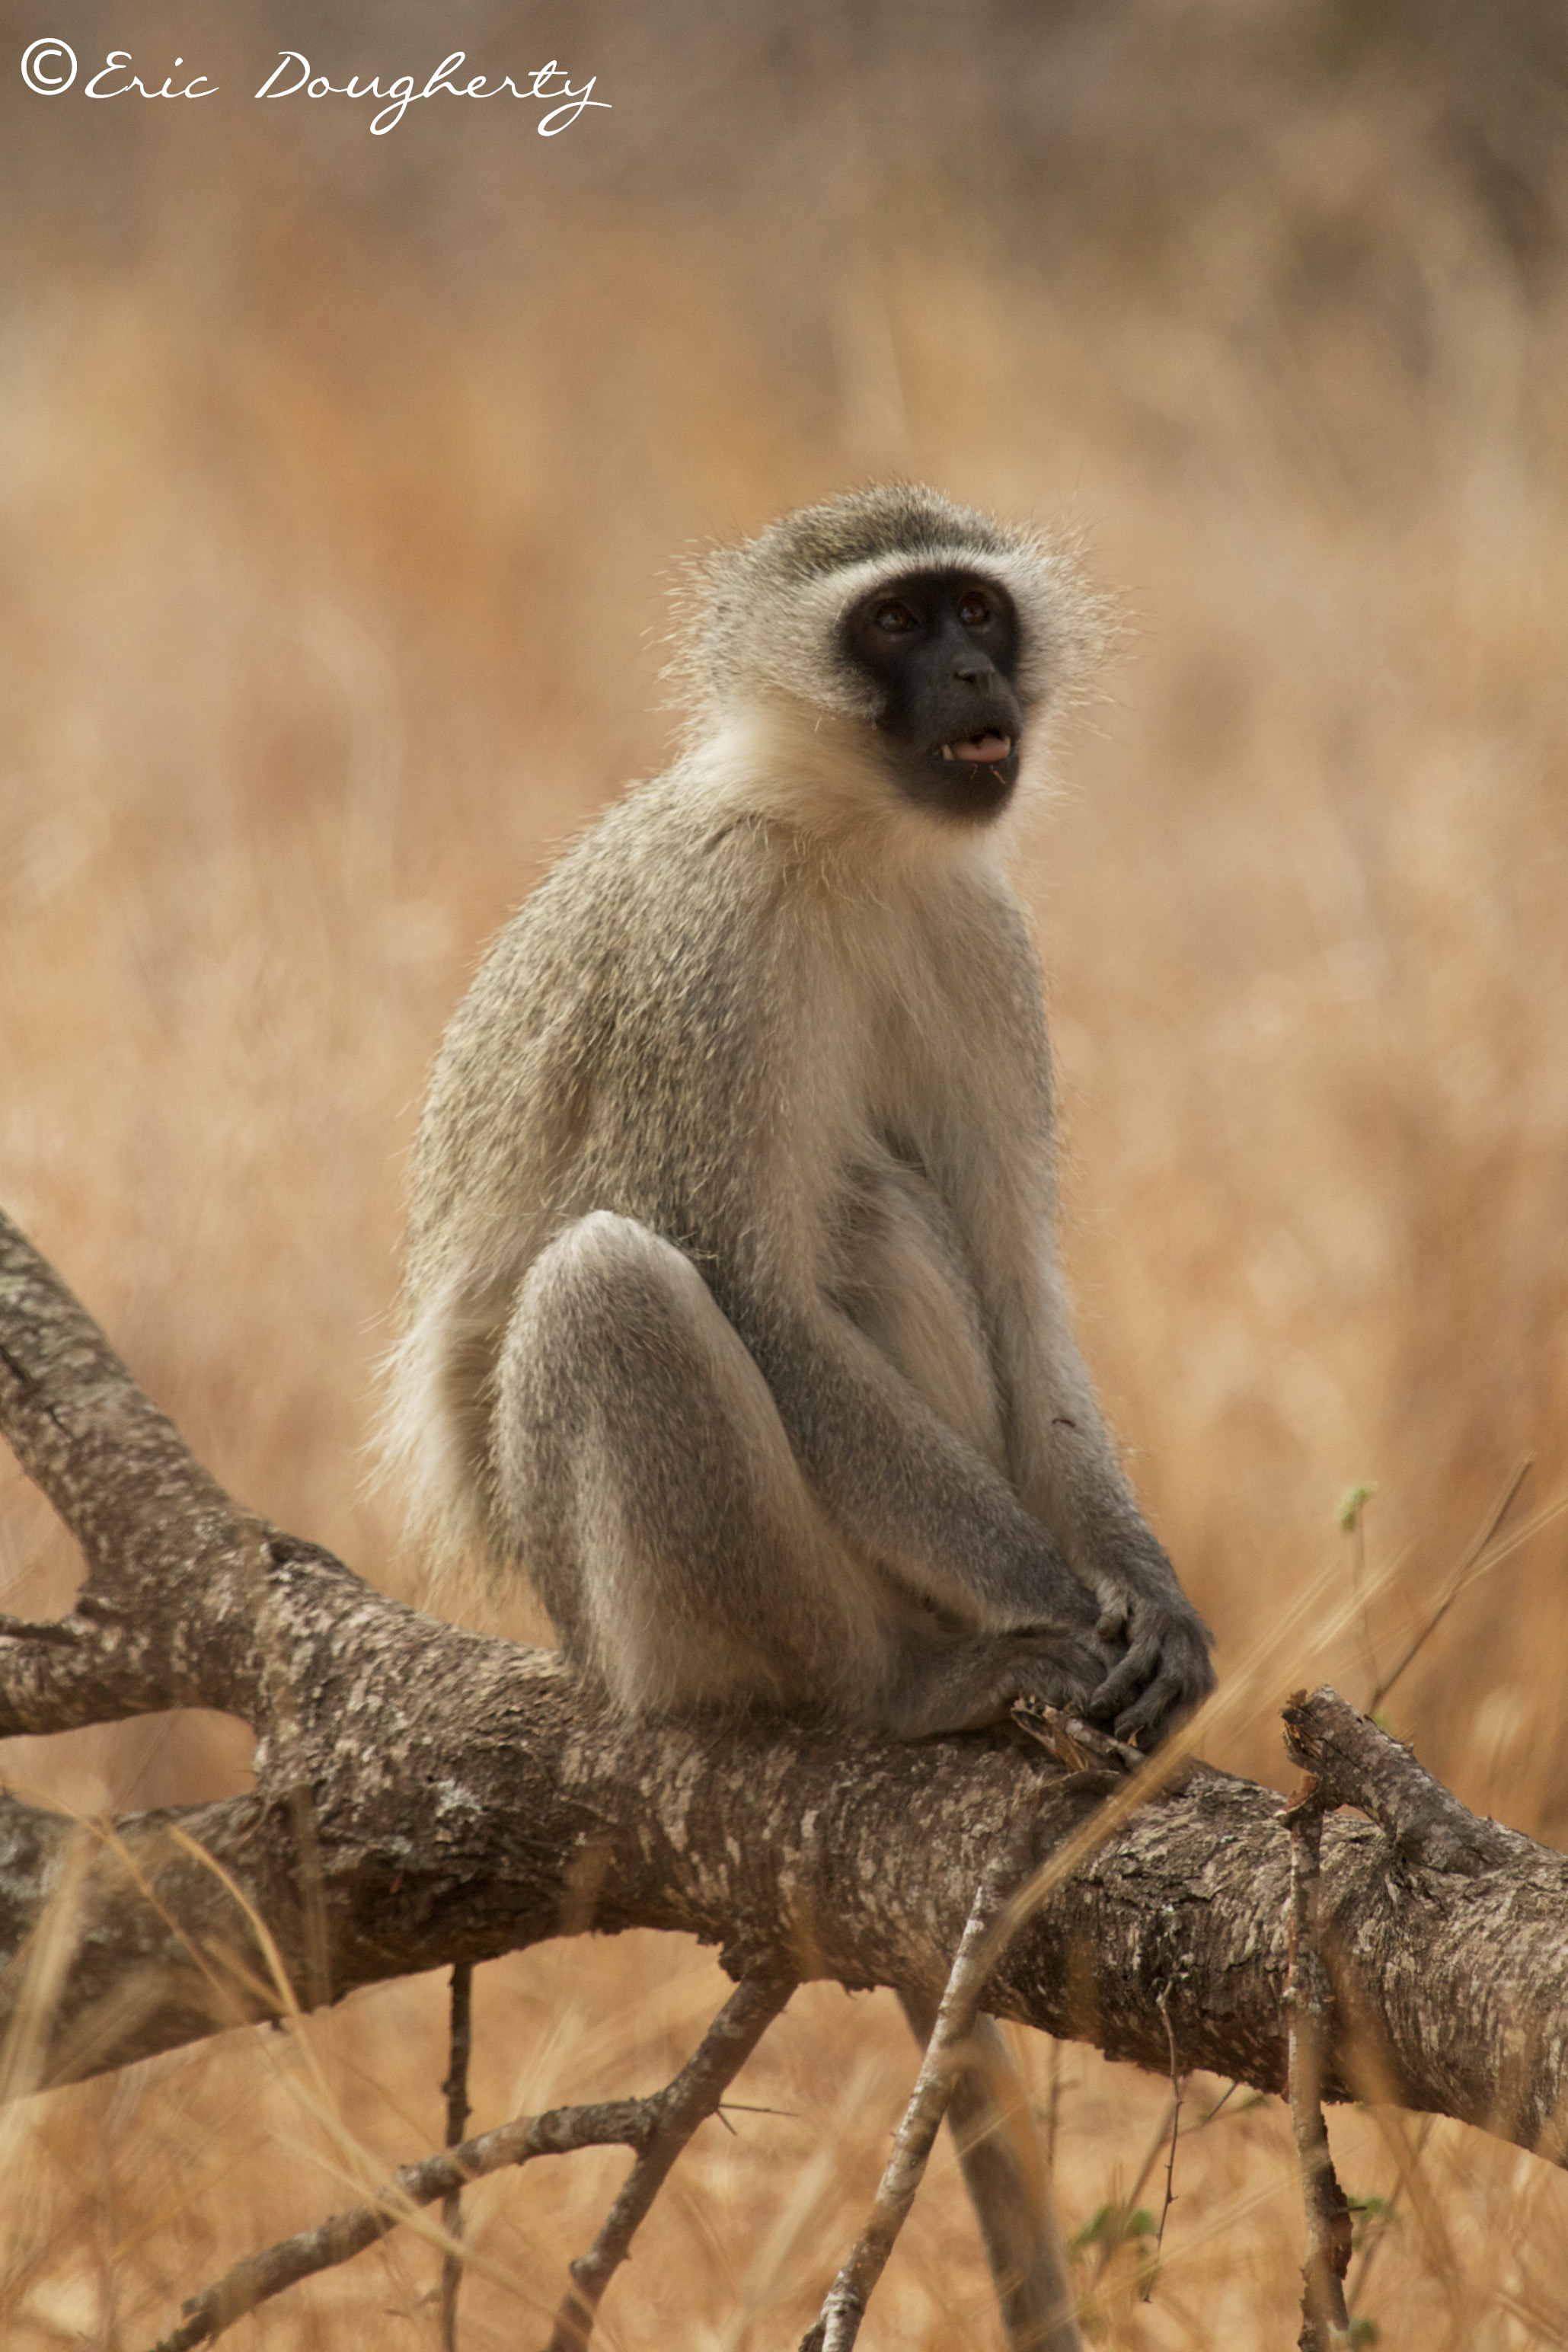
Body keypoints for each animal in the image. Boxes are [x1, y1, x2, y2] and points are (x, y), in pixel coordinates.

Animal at [384, 483, 1215, 1750]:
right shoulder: (713, 952)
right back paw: (902, 1684)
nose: (974, 674)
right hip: (639, 1628)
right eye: (896, 622)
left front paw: (1149, 1595)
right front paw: (1056, 1602)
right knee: (610, 1284)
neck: (843, 839)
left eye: (977, 610)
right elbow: (756, 1299)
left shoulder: (981, 941)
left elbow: (1017, 1291)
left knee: (881, 1211)